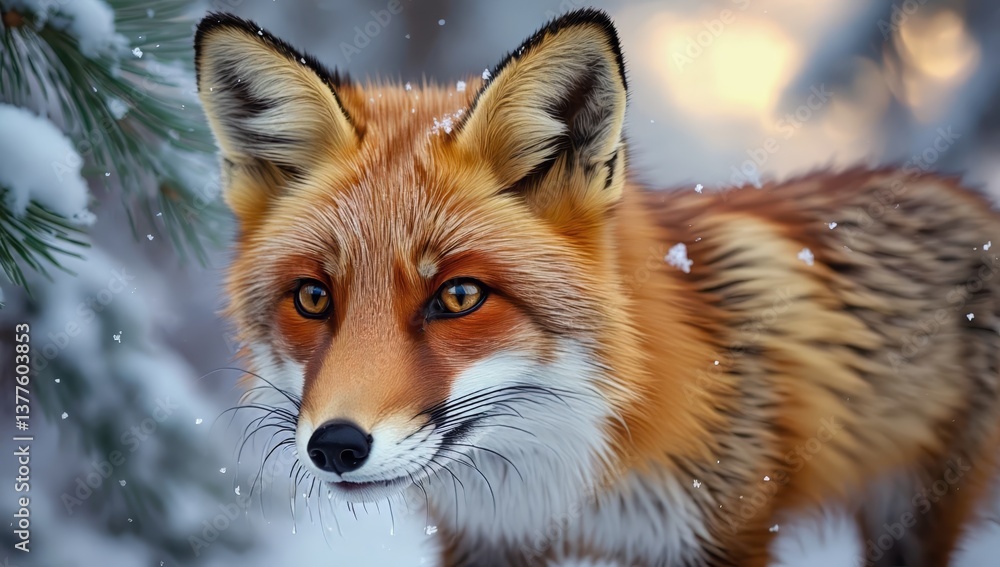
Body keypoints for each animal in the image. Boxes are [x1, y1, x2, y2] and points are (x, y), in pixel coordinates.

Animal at [194, 8, 1000, 567]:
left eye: (458, 296)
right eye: (312, 297)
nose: (335, 446)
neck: (568, 485)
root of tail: (967, 195)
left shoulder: (725, 527)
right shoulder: (489, 541)